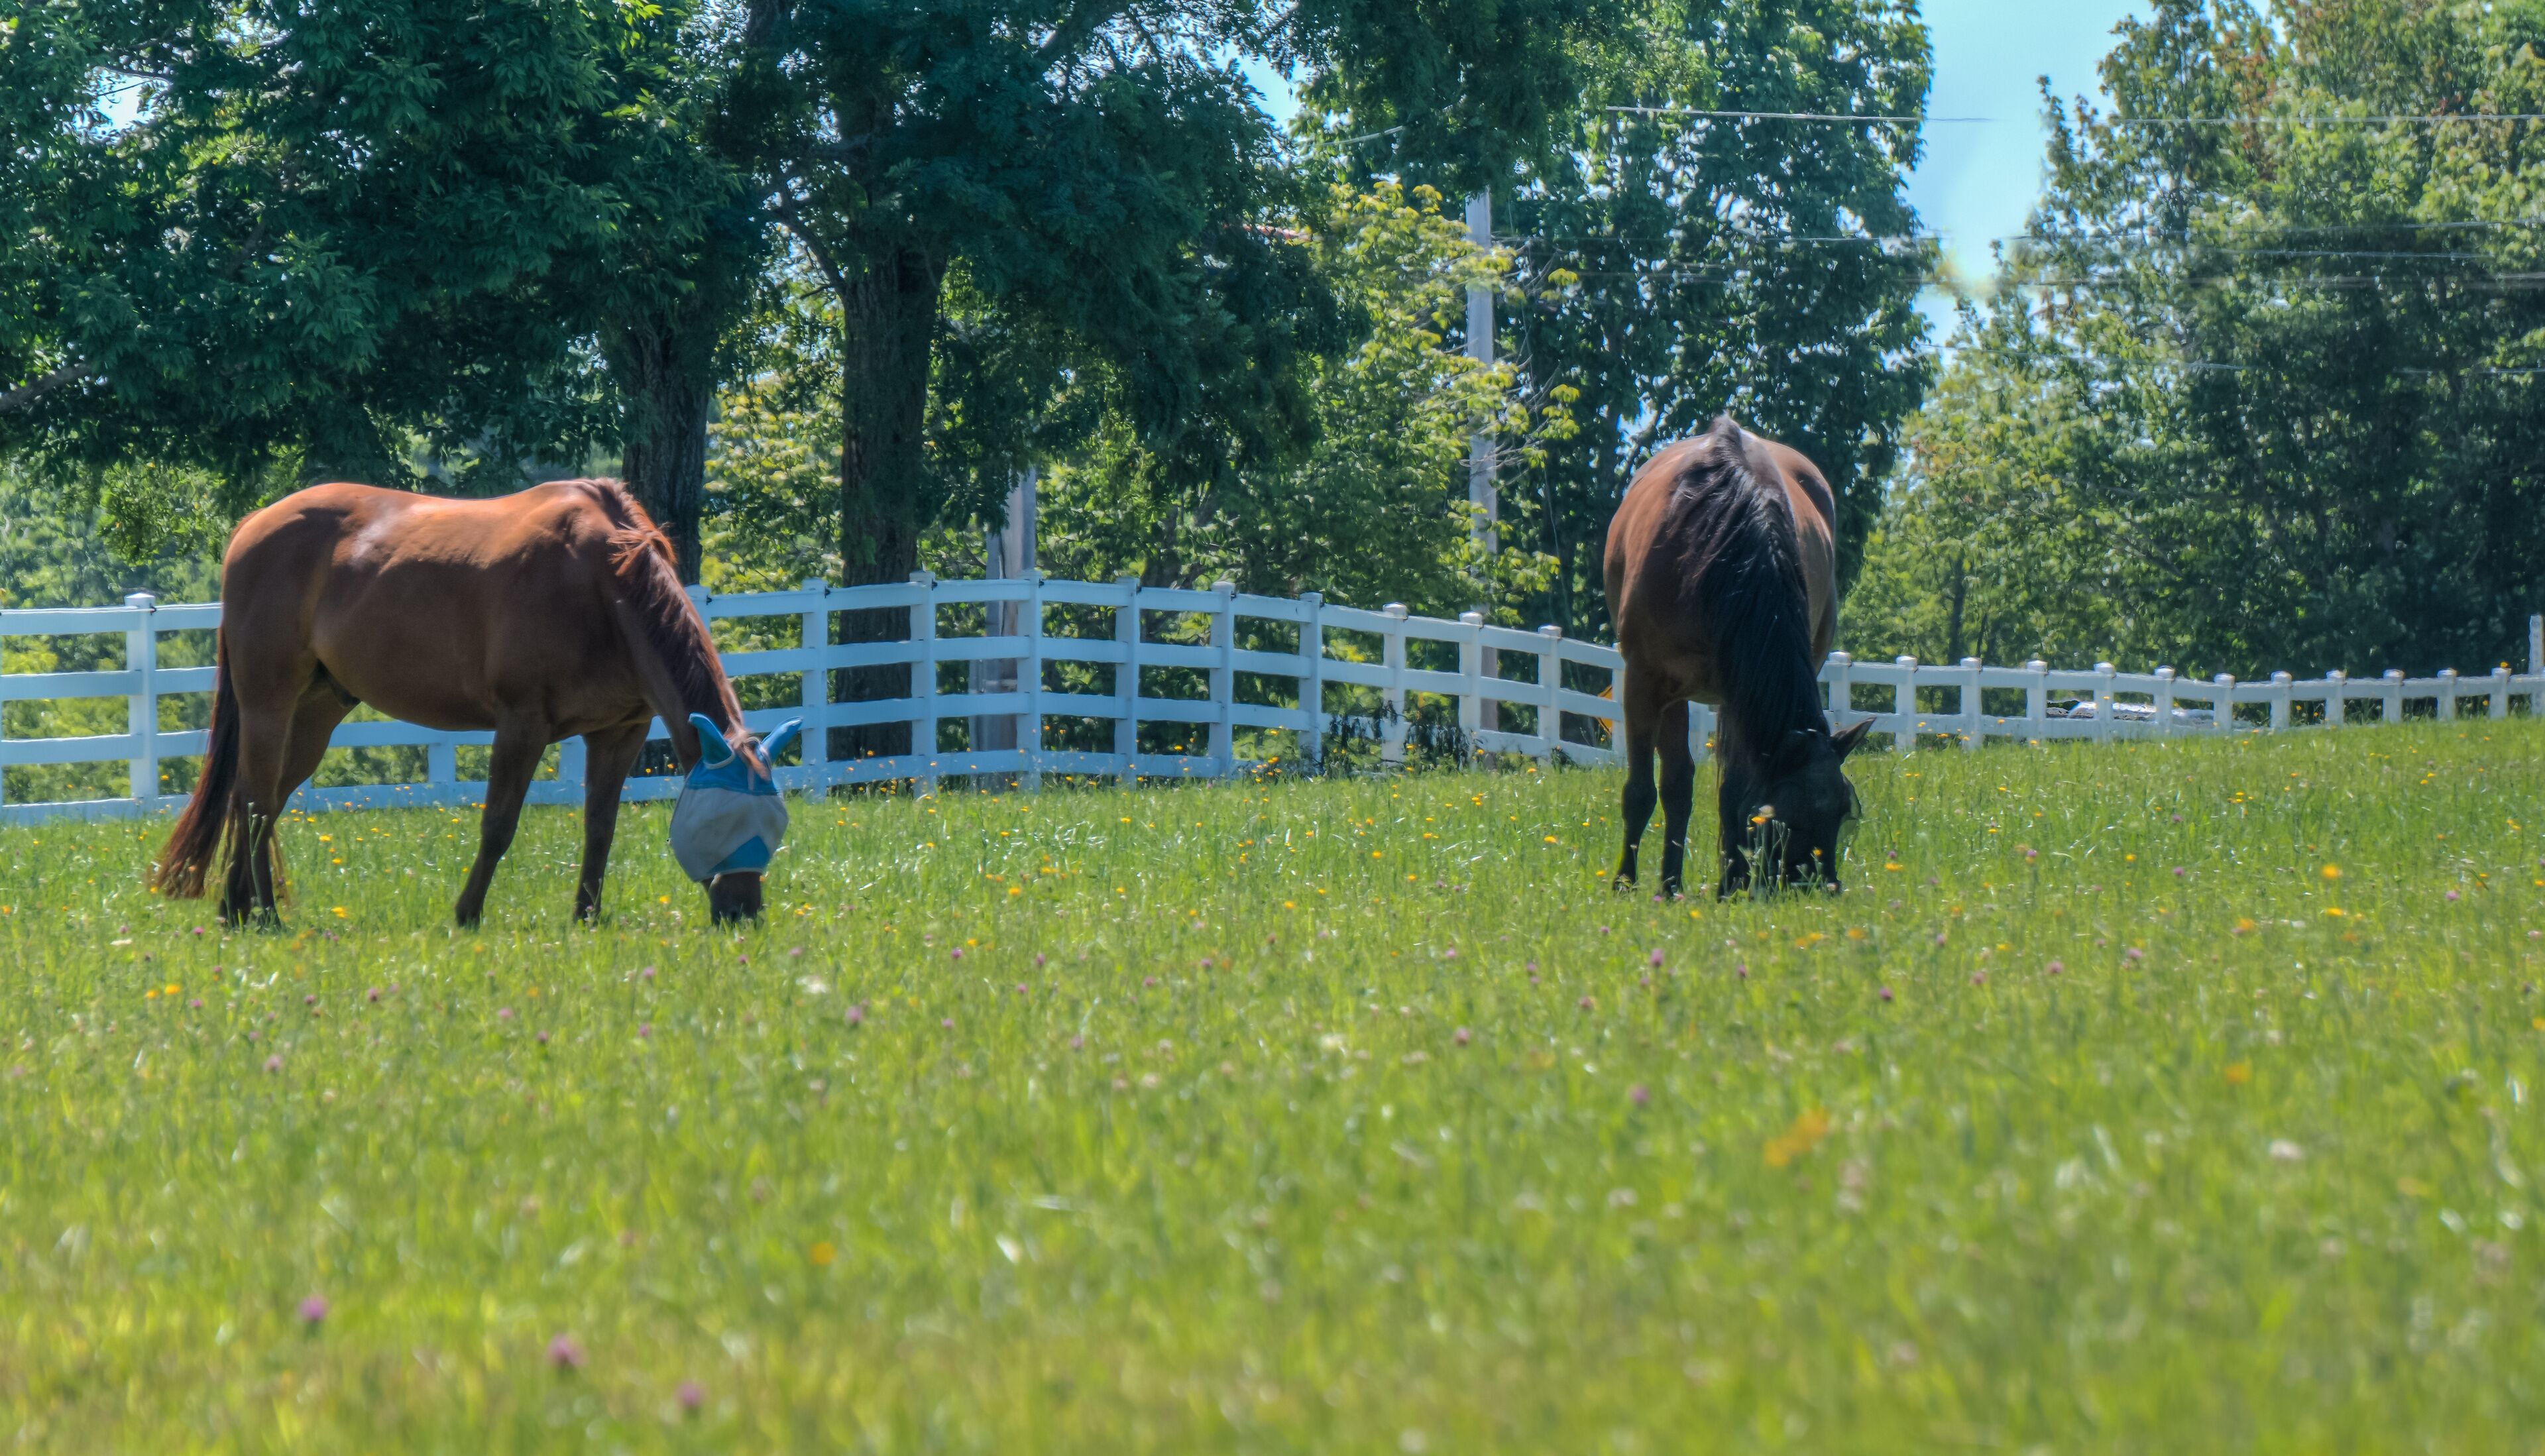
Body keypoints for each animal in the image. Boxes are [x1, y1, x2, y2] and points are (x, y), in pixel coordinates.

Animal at [152, 477, 783, 927]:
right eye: (724, 819)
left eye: (775, 823)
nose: (743, 913)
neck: (605, 587)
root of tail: (253, 525)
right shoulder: (522, 724)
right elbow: (498, 825)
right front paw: (467, 912)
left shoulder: (619, 732)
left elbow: (600, 827)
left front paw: (586, 916)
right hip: (269, 702)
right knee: (257, 801)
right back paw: (265, 914)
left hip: (315, 714)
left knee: (254, 799)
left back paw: (234, 910)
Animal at [1604, 415, 1871, 897]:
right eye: (1786, 819)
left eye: (1843, 811)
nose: (1820, 887)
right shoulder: (1644, 683)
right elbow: (1642, 791)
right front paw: (1625, 882)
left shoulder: (1738, 689)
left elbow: (1733, 786)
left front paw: (1731, 880)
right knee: (1675, 783)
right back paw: (1671, 881)